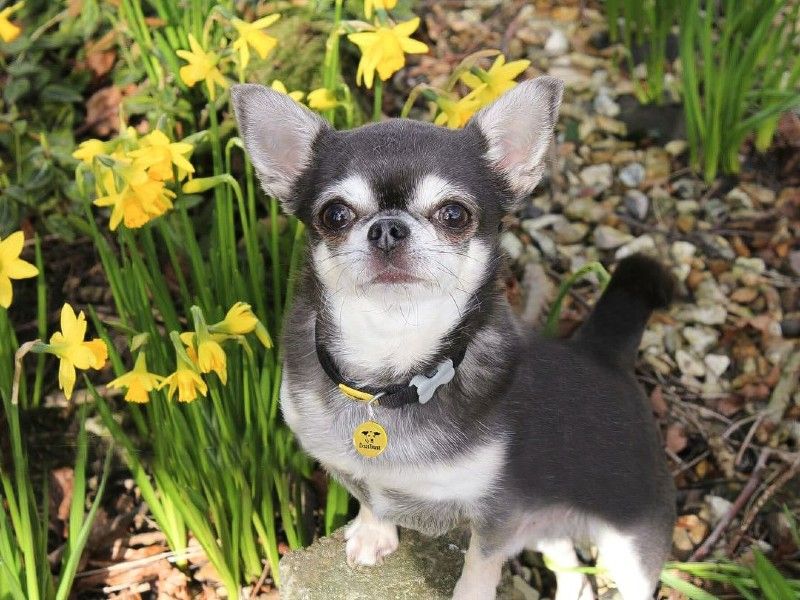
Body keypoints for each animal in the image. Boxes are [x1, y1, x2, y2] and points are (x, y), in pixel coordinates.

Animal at [231, 76, 676, 600]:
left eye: (454, 214)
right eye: (335, 215)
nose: (387, 227)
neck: (391, 371)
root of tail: (605, 352)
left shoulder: (500, 514)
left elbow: (481, 564)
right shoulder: (357, 471)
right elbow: (372, 497)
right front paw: (374, 531)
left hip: (629, 547)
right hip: (547, 529)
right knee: (572, 571)